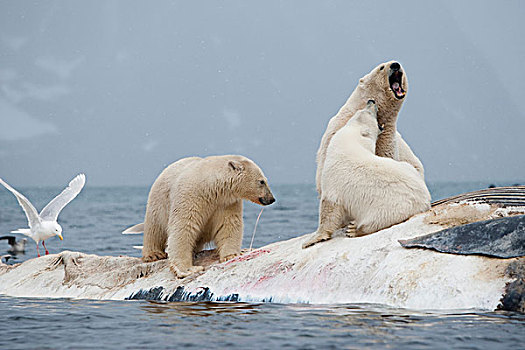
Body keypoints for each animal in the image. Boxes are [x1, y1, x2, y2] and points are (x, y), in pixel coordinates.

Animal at [137, 154, 274, 278]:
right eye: (262, 181)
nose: (271, 199)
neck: (210, 186)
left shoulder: (226, 203)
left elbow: (228, 225)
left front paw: (231, 255)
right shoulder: (191, 196)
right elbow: (183, 227)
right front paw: (188, 269)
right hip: (158, 202)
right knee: (155, 229)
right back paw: (154, 254)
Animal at [302, 100, 430, 249]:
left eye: (368, 112)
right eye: (363, 110)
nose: (371, 101)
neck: (351, 140)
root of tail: (425, 198)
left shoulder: (333, 177)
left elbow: (329, 207)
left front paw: (312, 239)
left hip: (392, 207)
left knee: (377, 220)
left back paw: (354, 229)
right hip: (408, 170)